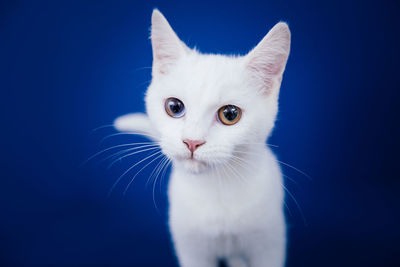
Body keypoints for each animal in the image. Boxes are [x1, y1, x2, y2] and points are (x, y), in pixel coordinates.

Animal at [115, 9, 290, 266]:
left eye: (230, 114)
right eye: (174, 107)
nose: (192, 141)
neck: (216, 189)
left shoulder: (269, 242)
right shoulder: (190, 246)